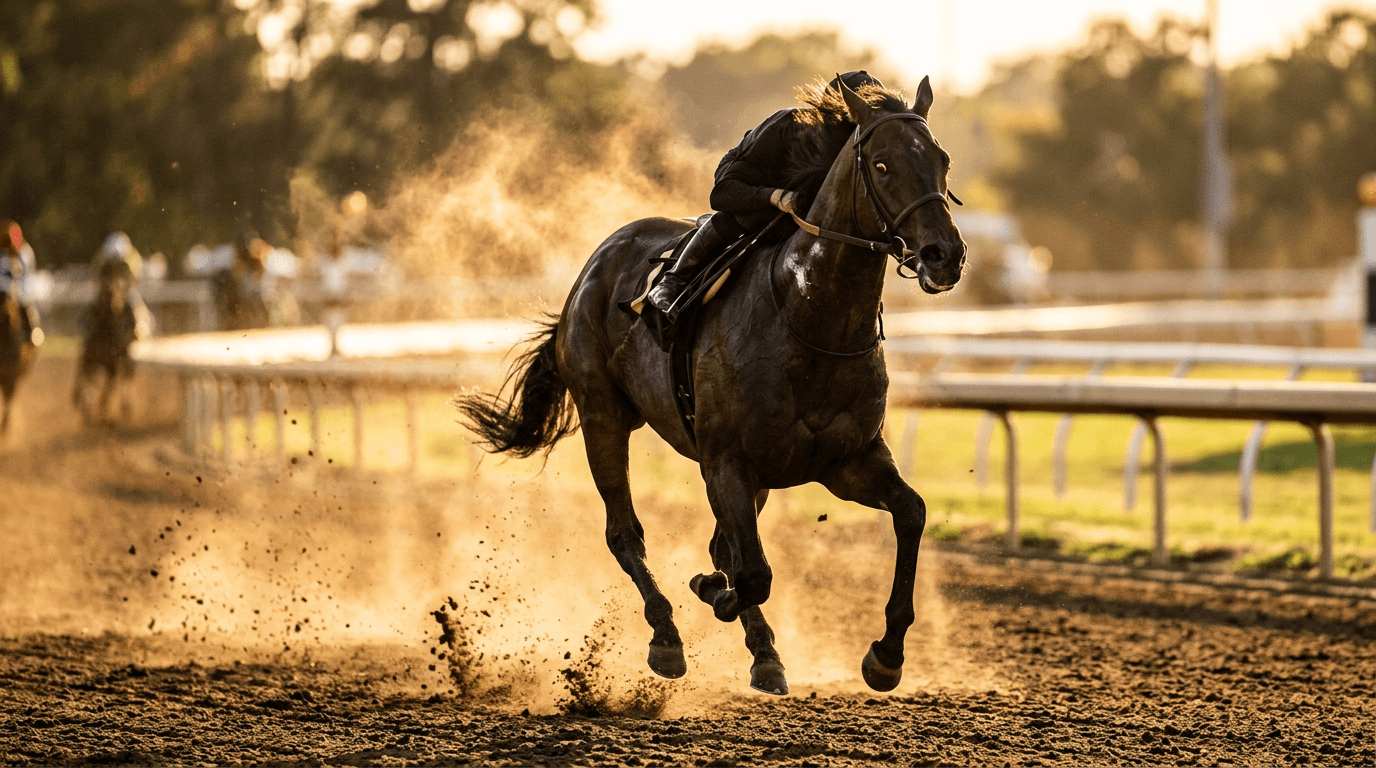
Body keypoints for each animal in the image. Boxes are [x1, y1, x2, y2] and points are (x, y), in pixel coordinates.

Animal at [457, 77, 966, 694]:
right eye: (884, 165)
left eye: (942, 159)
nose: (945, 254)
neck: (809, 316)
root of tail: (591, 268)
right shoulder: (726, 461)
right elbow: (750, 573)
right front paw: (712, 594)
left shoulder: (847, 460)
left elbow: (910, 513)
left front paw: (886, 654)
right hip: (603, 416)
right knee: (626, 534)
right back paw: (669, 637)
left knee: (718, 542)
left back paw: (758, 648)